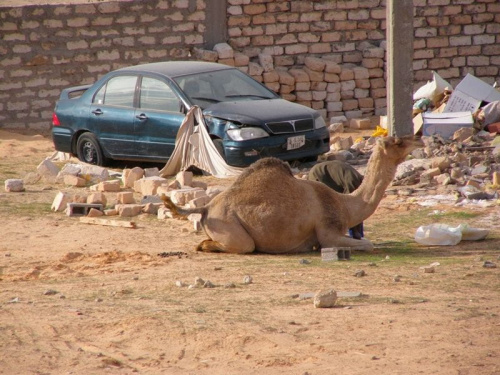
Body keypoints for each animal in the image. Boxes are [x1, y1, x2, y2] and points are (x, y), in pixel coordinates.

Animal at [164, 134, 422, 254]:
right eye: (397, 142)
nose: (417, 139)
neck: (345, 204)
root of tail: (206, 208)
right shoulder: (329, 232)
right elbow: (367, 244)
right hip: (231, 227)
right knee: (242, 245)